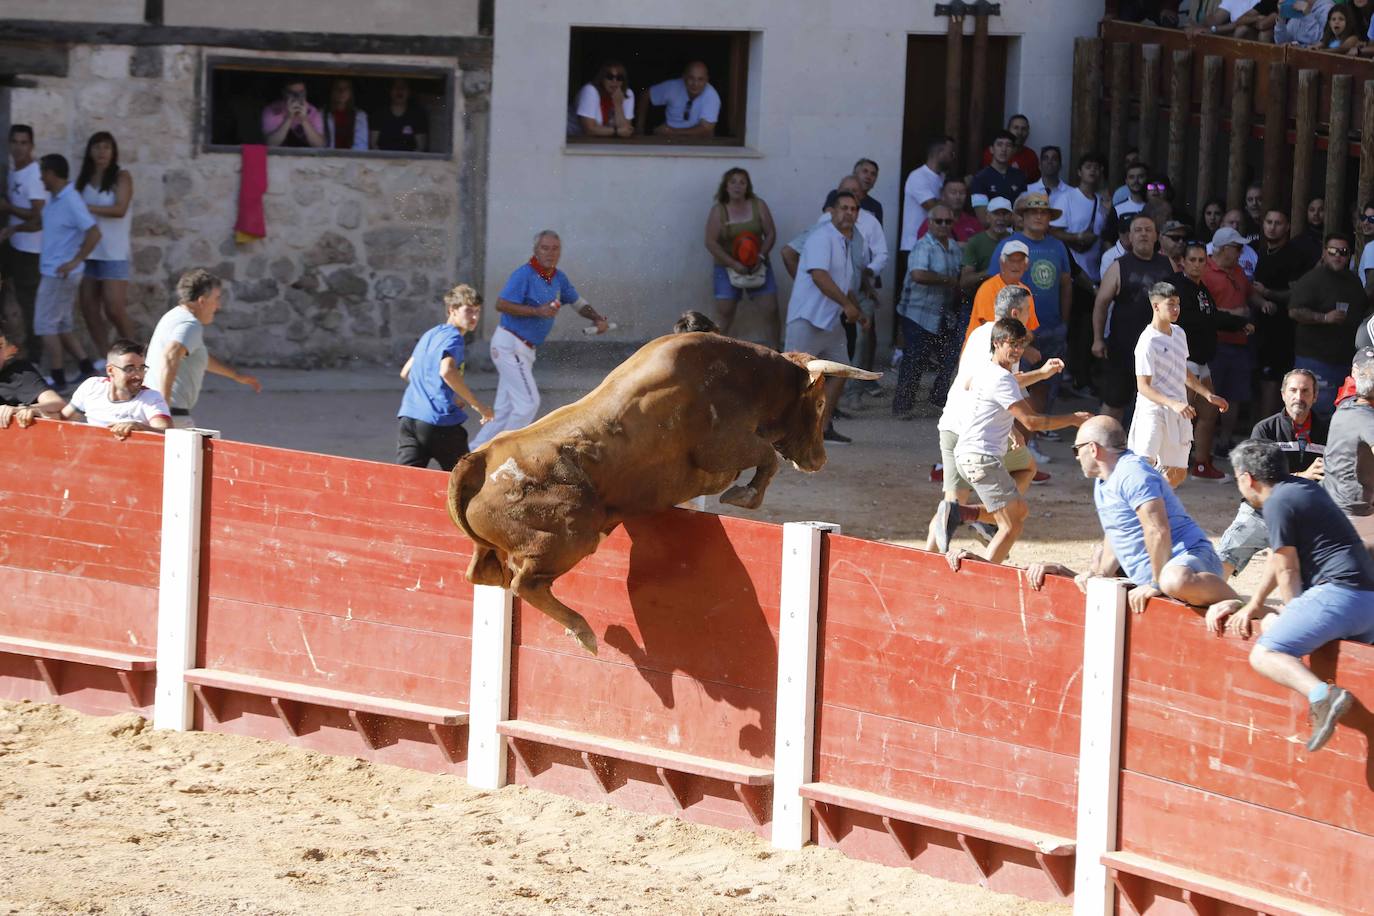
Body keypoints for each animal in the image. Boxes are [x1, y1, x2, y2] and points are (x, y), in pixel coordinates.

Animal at [447, 333, 879, 656]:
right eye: (820, 402)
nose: (819, 460)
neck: (746, 378)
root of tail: (480, 458)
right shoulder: (722, 447)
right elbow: (766, 457)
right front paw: (743, 497)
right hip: (570, 537)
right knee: (525, 583)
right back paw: (584, 632)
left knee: (485, 574)